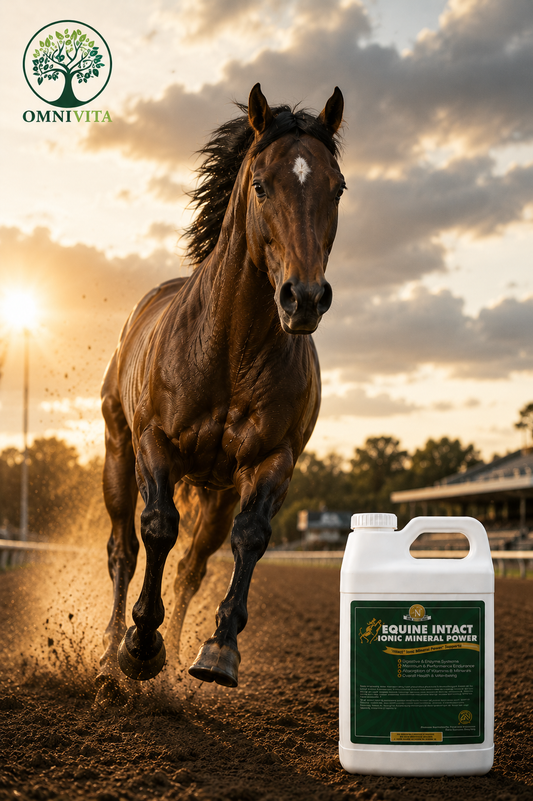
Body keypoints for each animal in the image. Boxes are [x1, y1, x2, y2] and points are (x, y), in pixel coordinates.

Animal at [96, 83, 345, 703]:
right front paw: (140, 646)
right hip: (117, 453)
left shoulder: (272, 461)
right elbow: (157, 527)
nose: (305, 298)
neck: (232, 351)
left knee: (191, 568)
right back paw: (111, 653)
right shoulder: (154, 445)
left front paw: (217, 652)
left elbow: (250, 539)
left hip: (217, 493)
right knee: (123, 548)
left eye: (337, 188)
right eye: (261, 184)